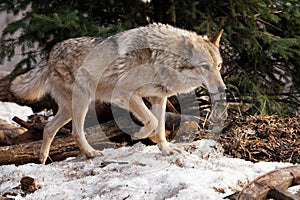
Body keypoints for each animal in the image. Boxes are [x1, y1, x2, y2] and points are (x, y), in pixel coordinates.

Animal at [10, 23, 226, 164]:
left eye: (218, 66)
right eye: (205, 67)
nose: (223, 89)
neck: (160, 59)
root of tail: (49, 53)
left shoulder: (159, 98)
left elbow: (160, 127)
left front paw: (166, 150)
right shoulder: (125, 94)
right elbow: (153, 121)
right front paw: (139, 135)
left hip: (69, 109)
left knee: (48, 127)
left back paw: (42, 158)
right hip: (81, 103)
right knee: (75, 132)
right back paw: (90, 153)